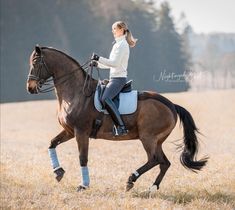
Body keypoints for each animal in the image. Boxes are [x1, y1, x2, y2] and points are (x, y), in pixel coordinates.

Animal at [26, 45, 208, 192]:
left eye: (35, 62)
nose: (30, 87)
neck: (76, 93)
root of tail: (171, 105)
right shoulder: (70, 131)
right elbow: (52, 144)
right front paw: (58, 172)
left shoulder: (81, 133)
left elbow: (82, 158)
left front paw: (83, 185)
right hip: (157, 141)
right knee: (164, 163)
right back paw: (152, 188)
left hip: (148, 137)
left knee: (154, 160)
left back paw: (131, 180)